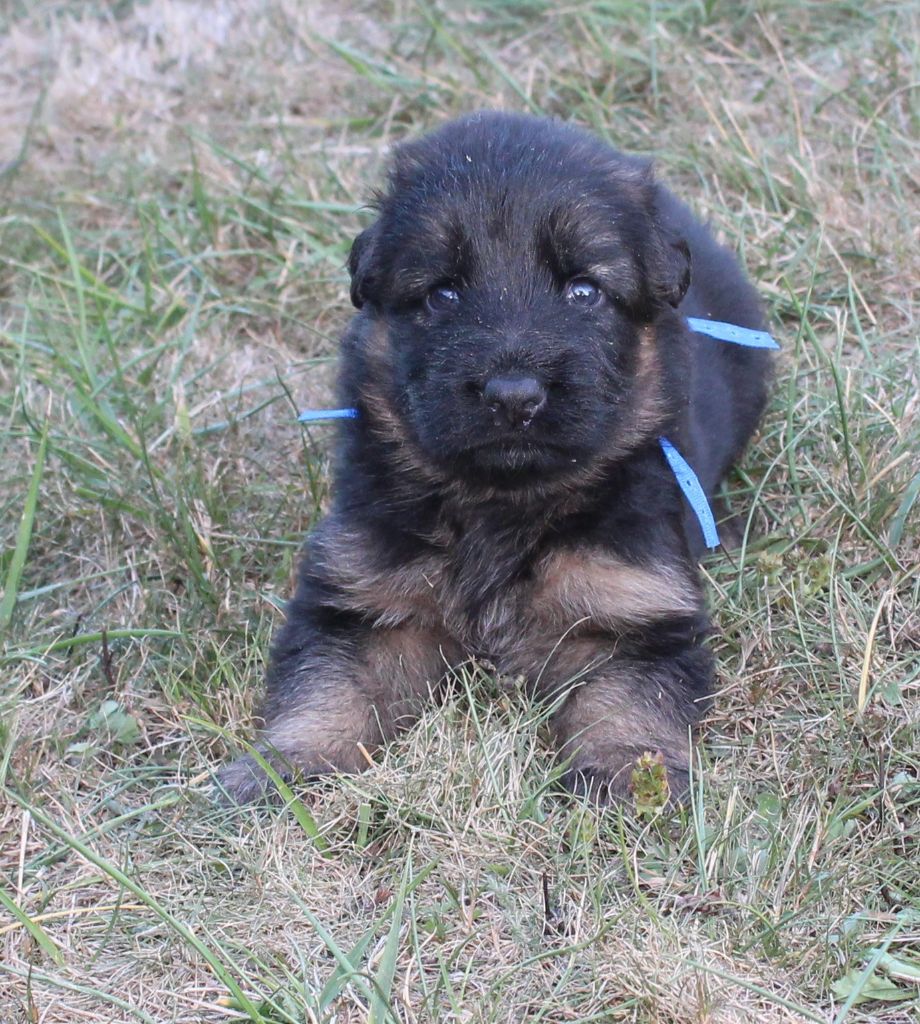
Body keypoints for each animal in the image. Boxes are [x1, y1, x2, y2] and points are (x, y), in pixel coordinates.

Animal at [219, 108, 770, 802]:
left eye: (584, 292)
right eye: (443, 295)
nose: (513, 395)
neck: (502, 502)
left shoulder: (634, 610)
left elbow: (627, 703)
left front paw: (625, 776)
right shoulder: (362, 597)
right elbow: (328, 687)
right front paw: (286, 767)